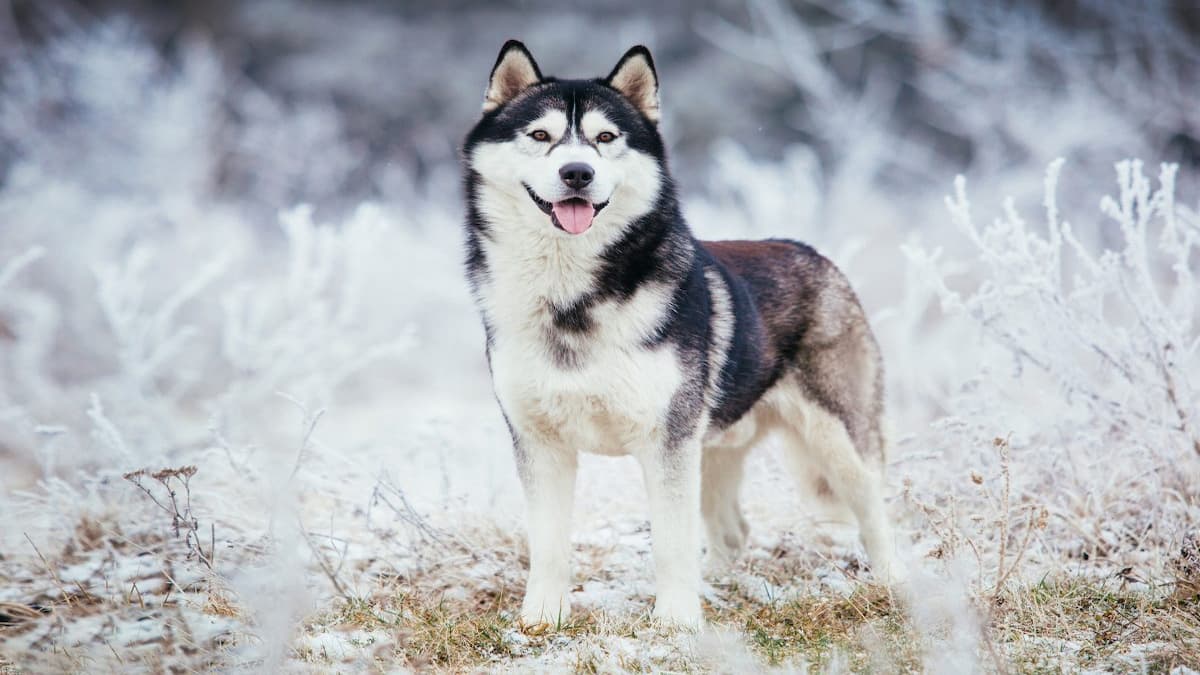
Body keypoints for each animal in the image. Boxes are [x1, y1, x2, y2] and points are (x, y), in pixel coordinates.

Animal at [458, 39, 902, 624]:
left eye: (605, 138)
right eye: (540, 136)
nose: (577, 172)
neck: (571, 299)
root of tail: (813, 253)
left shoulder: (667, 441)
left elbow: (671, 542)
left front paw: (676, 623)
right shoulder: (539, 442)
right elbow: (548, 544)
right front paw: (540, 619)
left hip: (835, 437)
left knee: (874, 509)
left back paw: (895, 580)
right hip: (713, 447)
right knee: (733, 532)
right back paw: (719, 585)